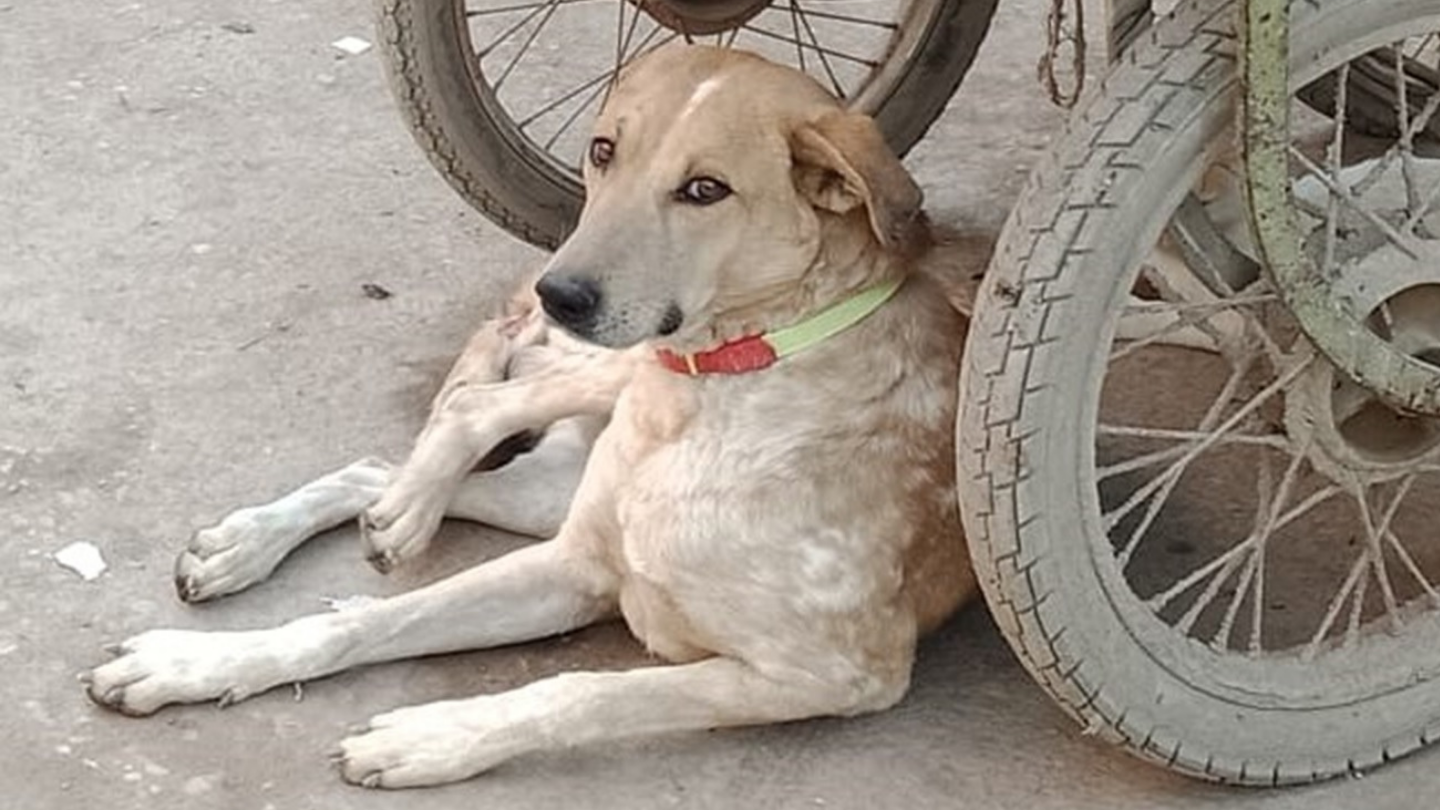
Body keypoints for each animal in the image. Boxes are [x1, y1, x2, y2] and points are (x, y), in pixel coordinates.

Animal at [78, 42, 979, 784]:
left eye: (705, 190)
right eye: (604, 150)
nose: (561, 292)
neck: (708, 399)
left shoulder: (838, 673)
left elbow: (579, 691)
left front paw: (433, 736)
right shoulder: (575, 566)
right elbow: (362, 627)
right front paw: (196, 664)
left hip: (558, 482)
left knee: (418, 452)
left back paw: (353, 522)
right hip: (587, 416)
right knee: (462, 413)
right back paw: (294, 534)